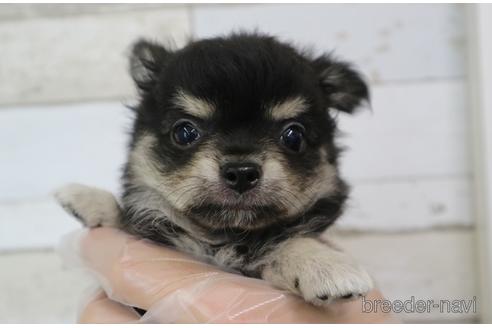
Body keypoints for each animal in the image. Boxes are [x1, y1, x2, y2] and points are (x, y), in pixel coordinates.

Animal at [55, 32, 372, 304]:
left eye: (294, 136)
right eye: (184, 132)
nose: (241, 172)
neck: (223, 240)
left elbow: (289, 242)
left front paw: (324, 264)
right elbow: (129, 219)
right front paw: (89, 199)